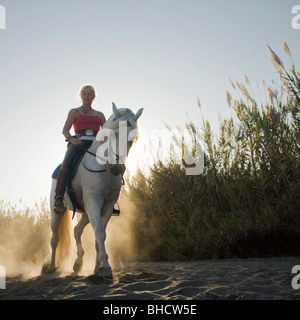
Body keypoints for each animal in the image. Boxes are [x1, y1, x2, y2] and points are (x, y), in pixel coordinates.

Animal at [42, 103, 144, 278]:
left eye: (132, 139)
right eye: (114, 134)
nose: (117, 168)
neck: (103, 167)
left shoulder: (107, 206)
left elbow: (100, 234)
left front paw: (98, 268)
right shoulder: (94, 201)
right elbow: (100, 233)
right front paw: (105, 267)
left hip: (85, 213)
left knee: (77, 230)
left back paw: (77, 264)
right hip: (58, 211)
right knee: (54, 239)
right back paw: (51, 267)